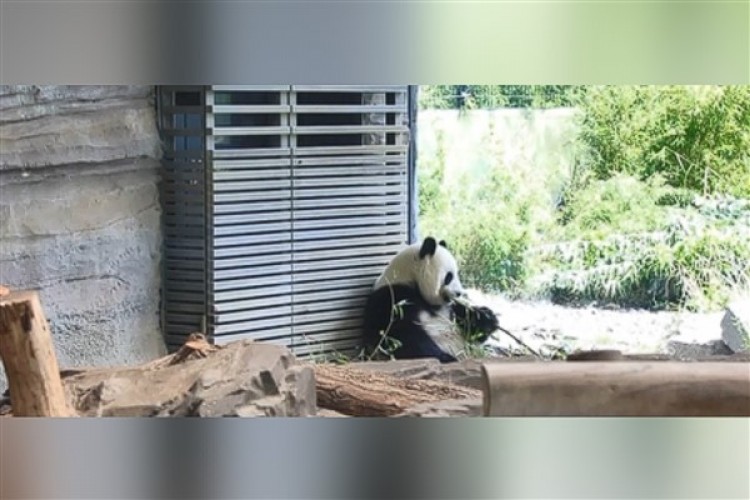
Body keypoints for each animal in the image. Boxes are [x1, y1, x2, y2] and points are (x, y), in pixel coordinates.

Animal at [362, 236, 500, 363]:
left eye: (457, 274)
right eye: (449, 276)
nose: (459, 293)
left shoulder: (450, 308)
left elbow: (468, 324)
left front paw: (487, 318)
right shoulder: (392, 298)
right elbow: (401, 336)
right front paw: (446, 357)